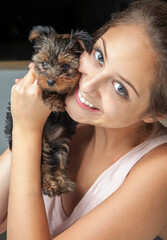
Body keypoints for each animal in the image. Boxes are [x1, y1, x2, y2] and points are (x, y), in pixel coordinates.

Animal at [4, 25, 94, 196]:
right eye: (44, 64)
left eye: (65, 66)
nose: (51, 81)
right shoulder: (38, 81)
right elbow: (43, 87)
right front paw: (55, 100)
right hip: (43, 142)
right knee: (44, 165)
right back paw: (50, 184)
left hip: (60, 141)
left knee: (60, 160)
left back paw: (61, 182)